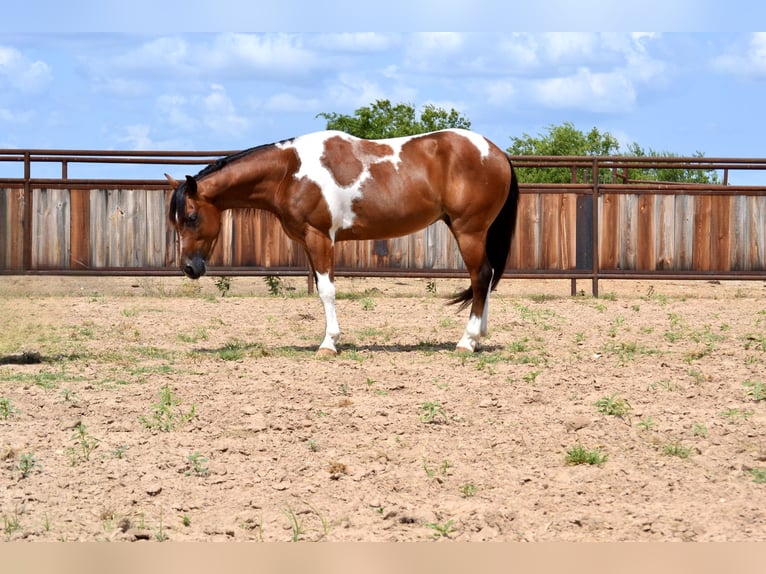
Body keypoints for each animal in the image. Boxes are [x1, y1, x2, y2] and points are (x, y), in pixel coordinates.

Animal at [168, 129, 520, 356]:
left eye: (191, 217)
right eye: (176, 220)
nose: (189, 267)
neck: (289, 172)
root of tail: (496, 152)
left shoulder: (320, 237)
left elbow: (327, 290)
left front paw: (328, 343)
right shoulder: (310, 241)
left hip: (469, 230)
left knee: (480, 276)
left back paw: (466, 341)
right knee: (487, 278)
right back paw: (478, 337)